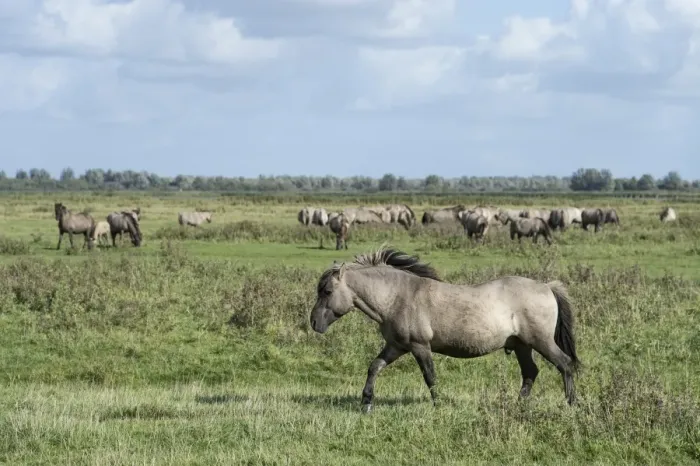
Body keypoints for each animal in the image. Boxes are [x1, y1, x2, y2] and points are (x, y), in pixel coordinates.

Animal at [309, 246, 580, 412]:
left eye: (327, 291)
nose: (313, 323)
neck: (398, 297)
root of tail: (547, 286)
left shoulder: (420, 347)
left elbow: (430, 376)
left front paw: (438, 405)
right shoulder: (396, 347)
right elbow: (374, 367)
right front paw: (366, 403)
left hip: (541, 342)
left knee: (565, 364)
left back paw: (572, 403)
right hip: (522, 345)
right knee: (530, 372)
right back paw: (518, 404)